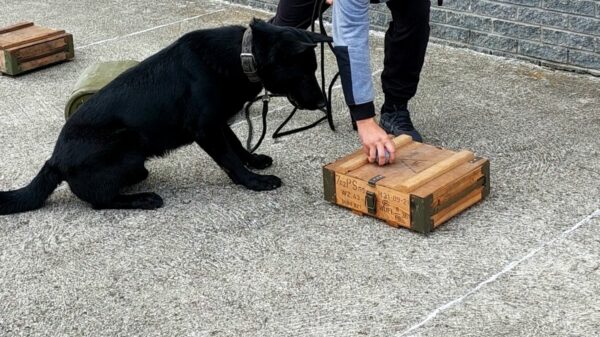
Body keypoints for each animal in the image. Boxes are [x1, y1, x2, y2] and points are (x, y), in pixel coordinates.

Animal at [0, 19, 330, 213]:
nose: (323, 103)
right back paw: (143, 199)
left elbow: (237, 145)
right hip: (126, 144)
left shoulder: (218, 121)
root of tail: (54, 160)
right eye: (304, 72)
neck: (242, 54)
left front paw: (255, 160)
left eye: (314, 70)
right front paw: (253, 181)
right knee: (98, 201)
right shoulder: (207, 129)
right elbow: (230, 159)